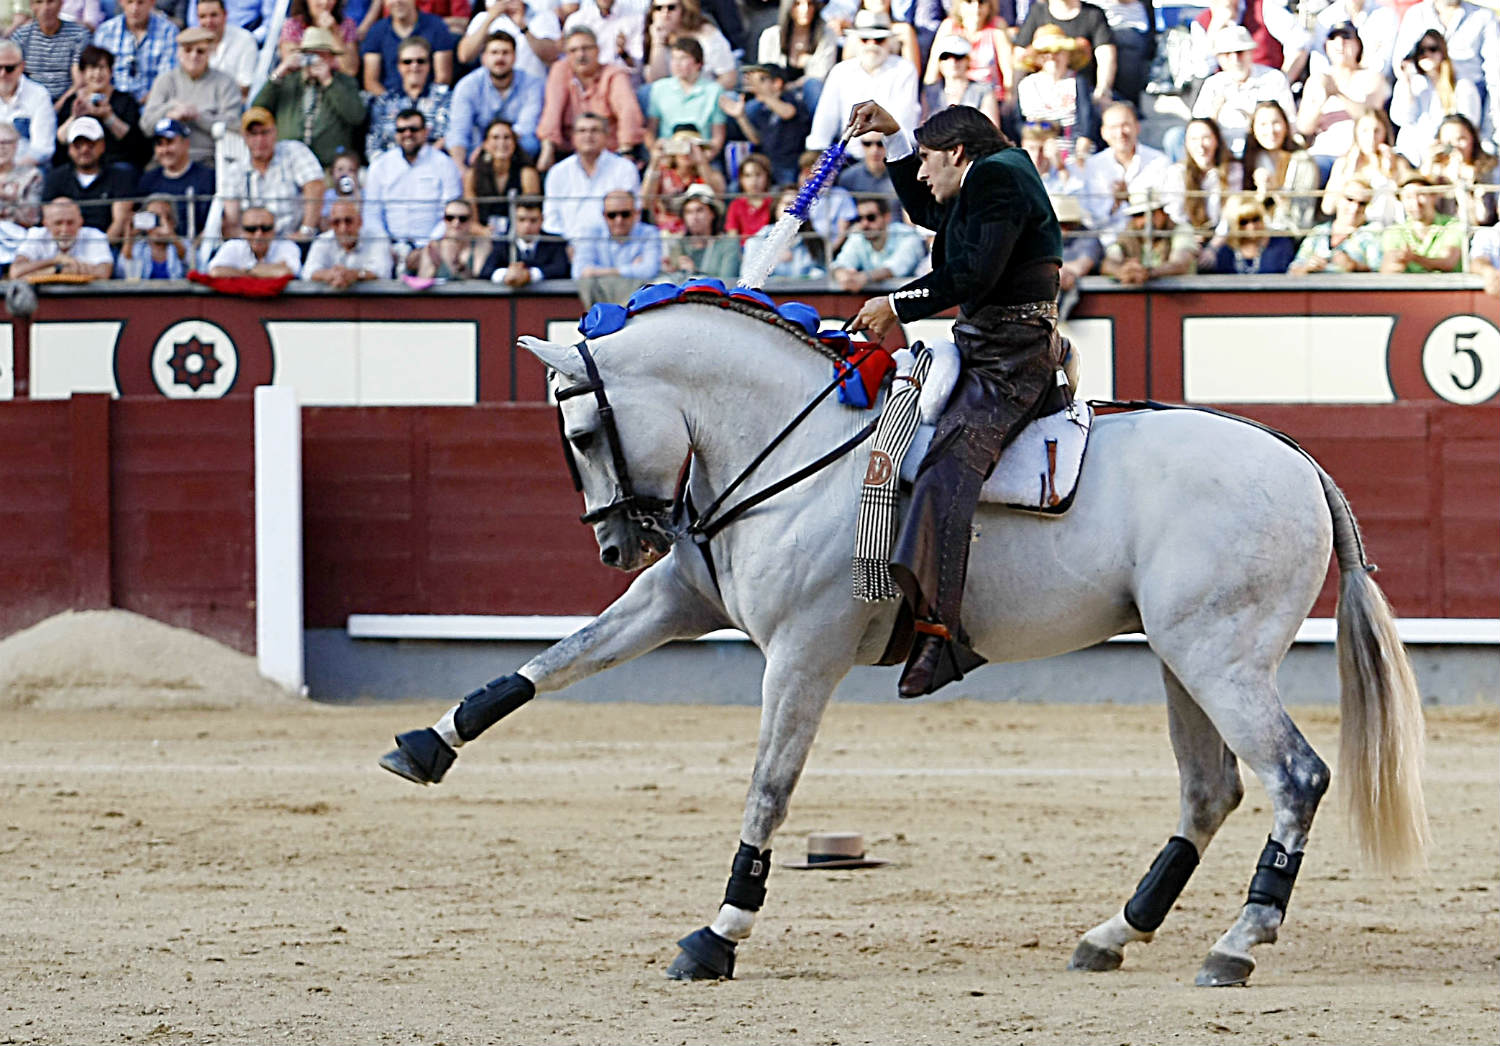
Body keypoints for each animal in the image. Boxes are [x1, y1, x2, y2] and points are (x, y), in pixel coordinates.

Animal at [378, 297, 1428, 984]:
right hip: (1182, 659)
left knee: (1295, 775)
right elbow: (557, 660)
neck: (790, 446)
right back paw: (1113, 935)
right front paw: (427, 743)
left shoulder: (802, 653)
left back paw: (1237, 943)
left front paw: (718, 932)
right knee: (1212, 789)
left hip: (1221, 659)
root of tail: (1299, 461)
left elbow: (769, 785)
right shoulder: (682, 594)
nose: (613, 543)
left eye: (585, 432)